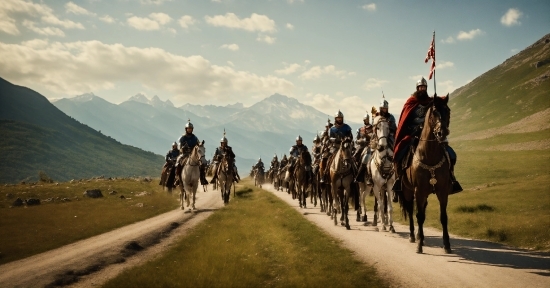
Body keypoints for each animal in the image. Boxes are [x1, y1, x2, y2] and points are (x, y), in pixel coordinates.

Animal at [402, 95, 452, 253]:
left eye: (448, 111)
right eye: (434, 112)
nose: (442, 133)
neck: (430, 155)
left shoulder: (442, 191)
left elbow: (443, 217)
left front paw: (447, 245)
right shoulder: (419, 191)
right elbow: (419, 216)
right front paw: (419, 245)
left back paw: (421, 237)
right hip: (408, 191)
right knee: (411, 211)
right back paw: (414, 236)